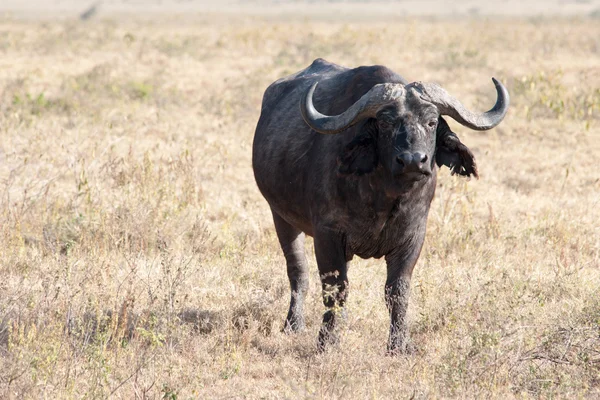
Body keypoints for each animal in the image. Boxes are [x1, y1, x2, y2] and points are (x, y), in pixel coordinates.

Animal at [251, 57, 508, 352]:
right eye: (385, 123)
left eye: (432, 122)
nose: (412, 160)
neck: (384, 199)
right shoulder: (327, 235)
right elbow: (335, 289)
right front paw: (327, 342)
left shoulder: (412, 238)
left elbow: (397, 291)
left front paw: (399, 345)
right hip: (281, 218)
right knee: (298, 272)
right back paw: (293, 324)